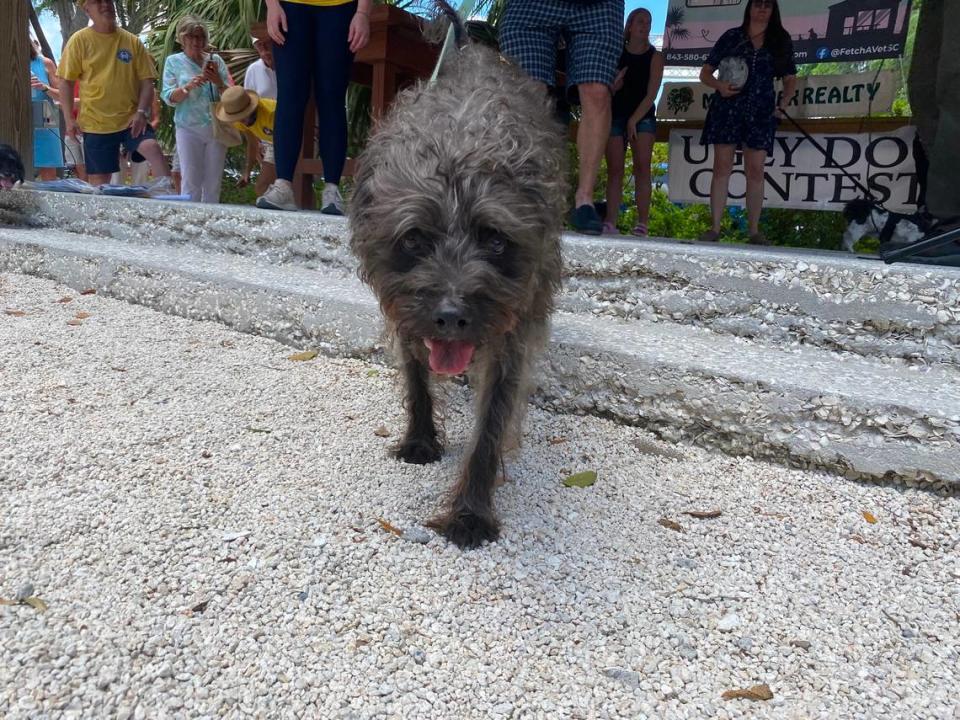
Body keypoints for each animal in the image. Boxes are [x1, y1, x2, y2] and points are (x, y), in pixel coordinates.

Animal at [348, 2, 568, 548]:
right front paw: (420, 438)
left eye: (495, 239)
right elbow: (416, 377)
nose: (450, 316)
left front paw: (470, 512)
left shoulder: (515, 327)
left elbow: (491, 422)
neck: (457, 147)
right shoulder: (404, 311)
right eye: (412, 239)